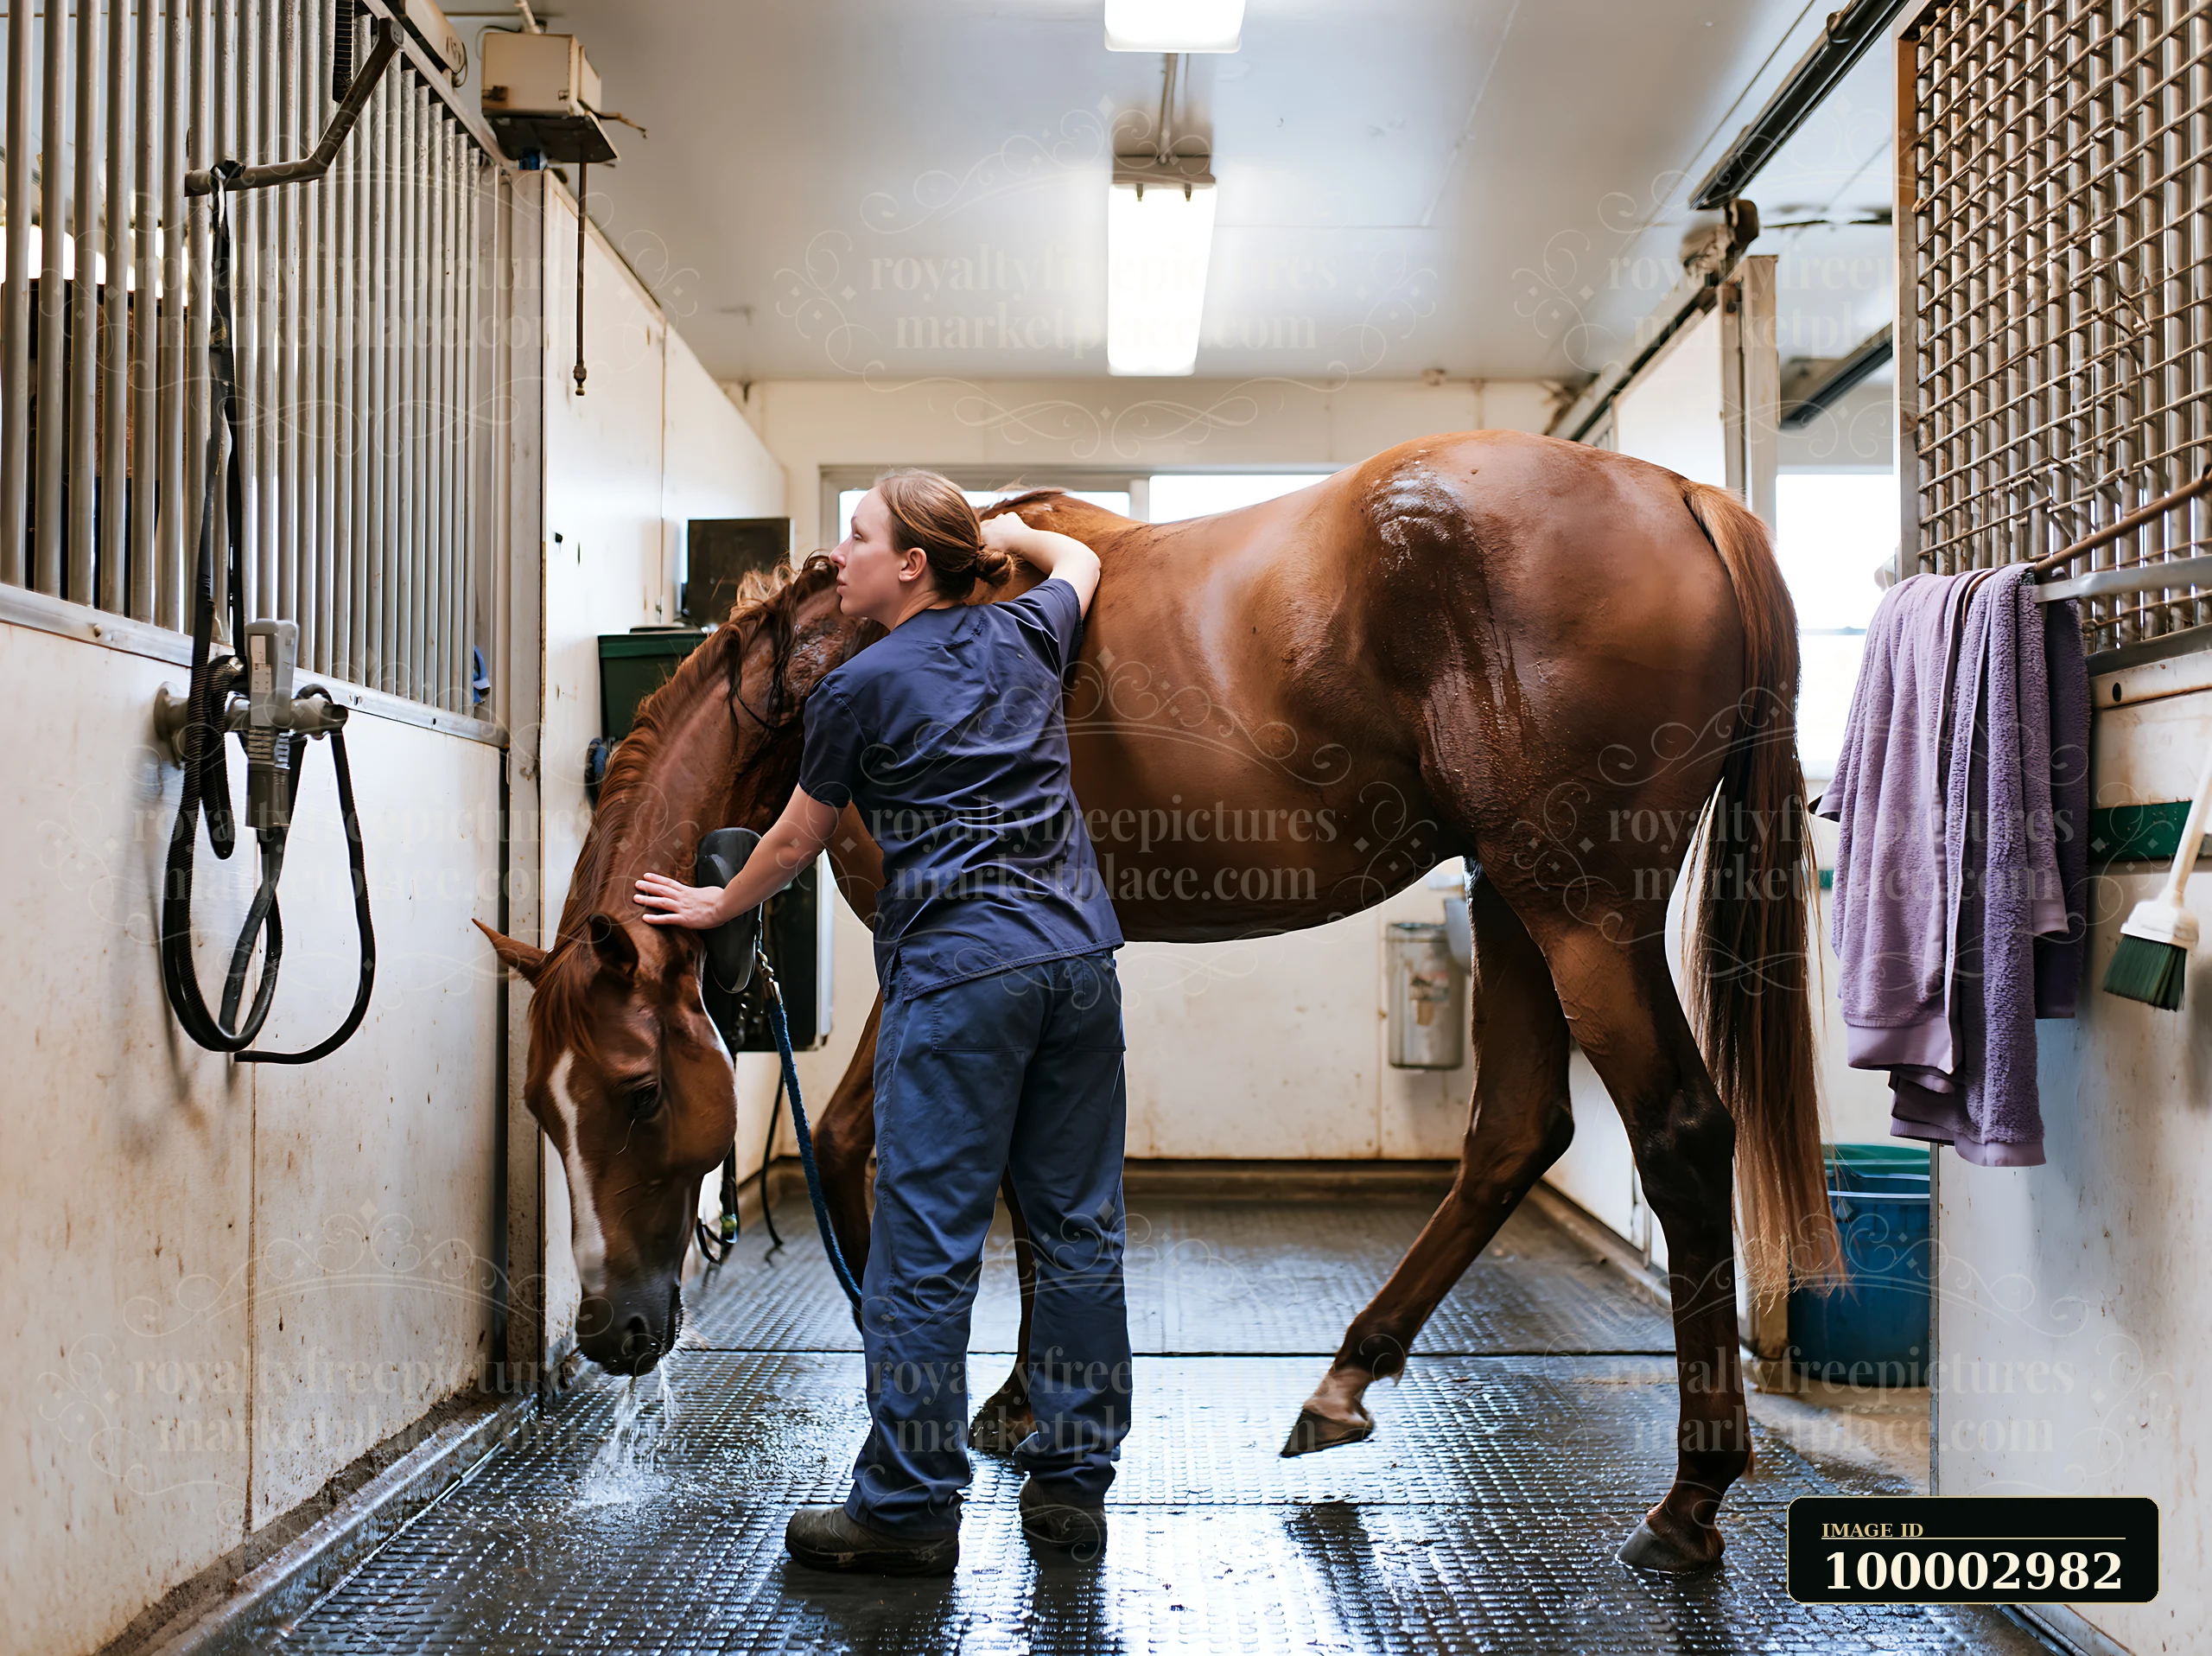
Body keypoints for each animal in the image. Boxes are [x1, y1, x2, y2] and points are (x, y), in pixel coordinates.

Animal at [478, 429, 1840, 1572]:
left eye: (636, 1093)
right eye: (542, 1113)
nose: (609, 1334)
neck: (862, 643)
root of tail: (1681, 493)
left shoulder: (934, 942)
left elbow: (888, 1145)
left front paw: (966, 1401)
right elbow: (1028, 1177)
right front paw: (1021, 1404)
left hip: (1580, 910)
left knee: (1679, 1134)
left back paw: (1688, 1501)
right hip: (1512, 898)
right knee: (1515, 1130)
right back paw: (1342, 1384)